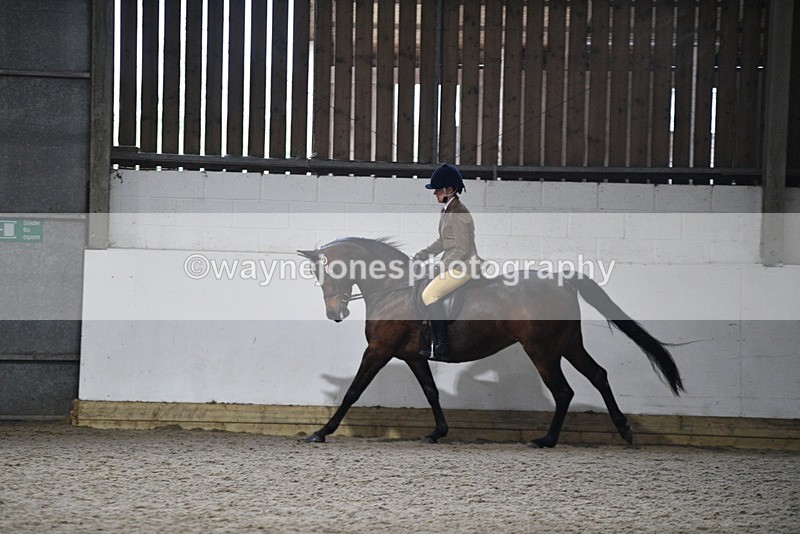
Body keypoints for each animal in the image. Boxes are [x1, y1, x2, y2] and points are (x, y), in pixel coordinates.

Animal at [298, 237, 683, 448]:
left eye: (328, 272)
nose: (335, 313)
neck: (393, 290)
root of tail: (562, 279)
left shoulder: (378, 350)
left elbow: (354, 391)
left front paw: (321, 432)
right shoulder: (413, 356)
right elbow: (431, 392)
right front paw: (437, 432)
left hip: (542, 351)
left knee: (563, 392)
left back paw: (546, 440)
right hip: (568, 345)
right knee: (599, 375)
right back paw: (624, 430)